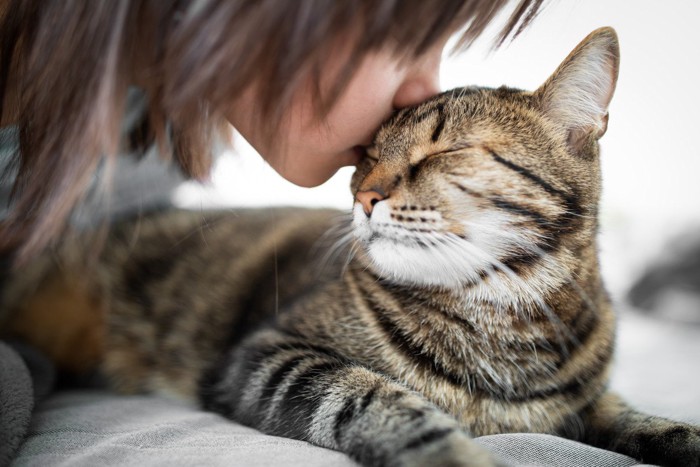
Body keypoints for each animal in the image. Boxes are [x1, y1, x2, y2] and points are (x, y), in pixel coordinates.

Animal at [1, 28, 700, 467]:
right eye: (366, 154)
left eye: (443, 151)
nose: (365, 193)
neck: (503, 314)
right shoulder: (271, 355)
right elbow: (380, 399)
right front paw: (453, 454)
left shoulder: (590, 401)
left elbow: (646, 421)